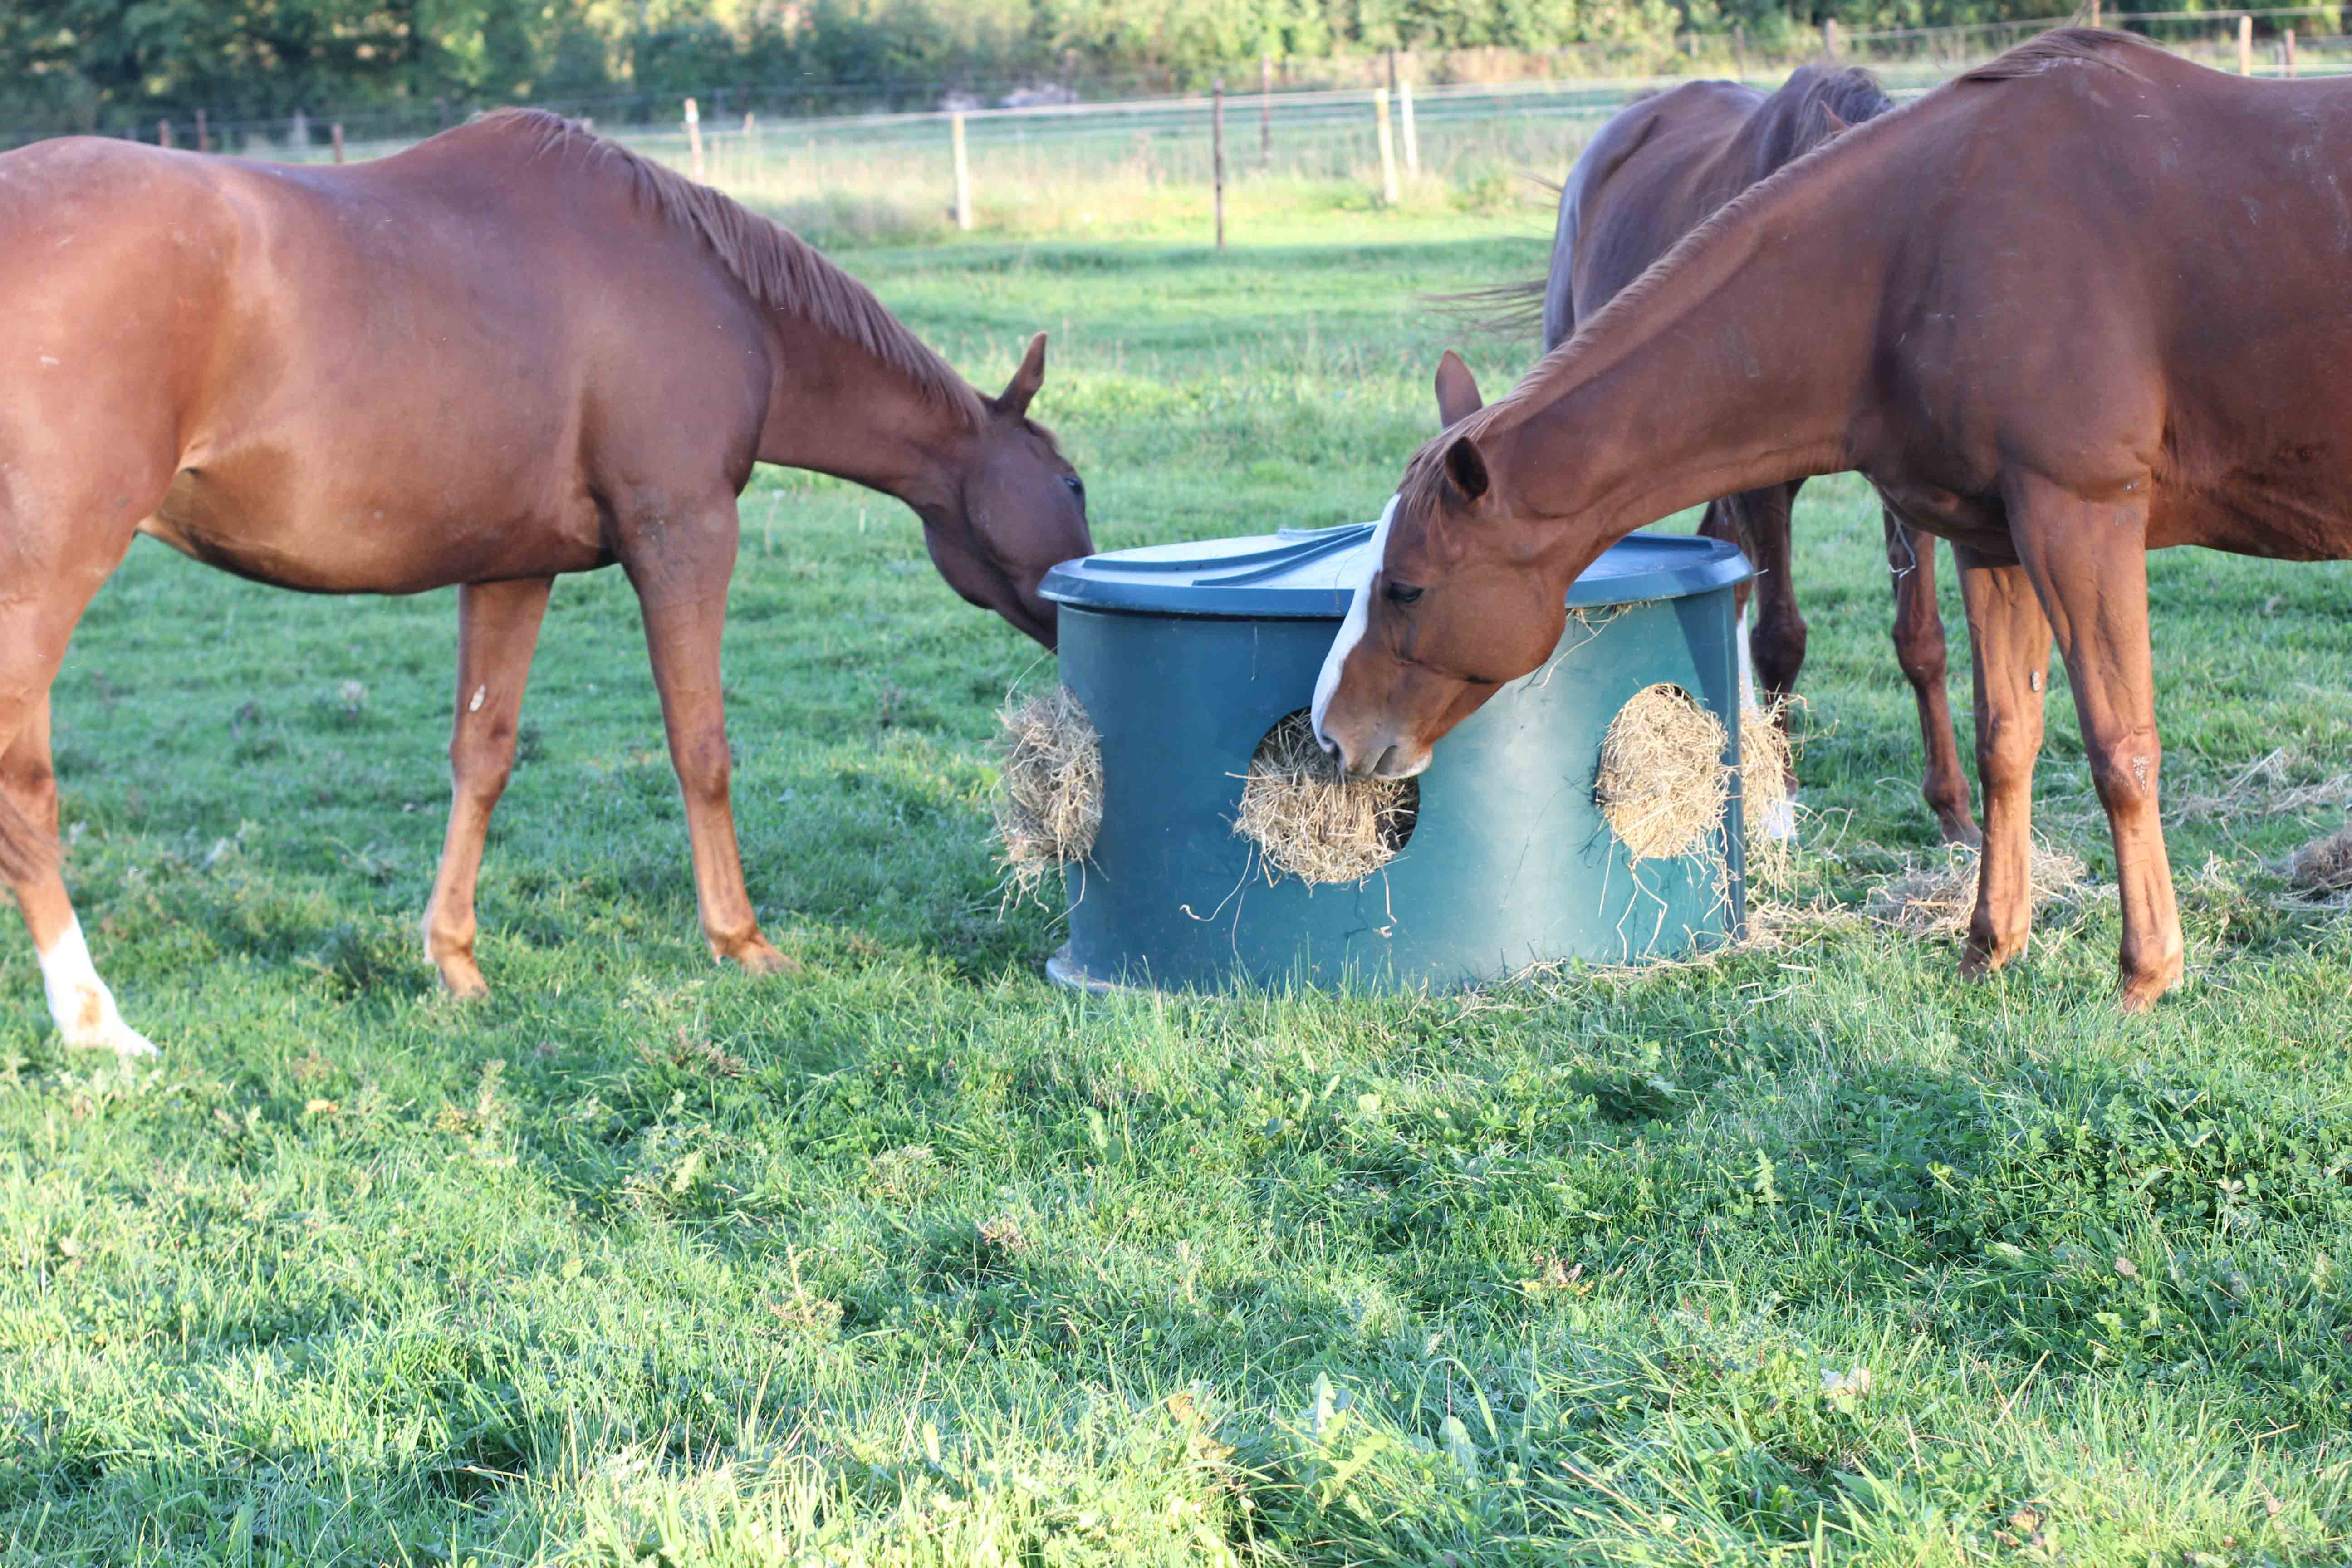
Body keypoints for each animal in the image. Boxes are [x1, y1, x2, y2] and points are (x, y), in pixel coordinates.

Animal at [0, 104, 1091, 1048]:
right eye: (1074, 482)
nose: (1070, 618)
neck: (722, 300)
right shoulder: (683, 534)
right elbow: (701, 747)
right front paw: (742, 942)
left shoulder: (511, 568)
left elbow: (482, 756)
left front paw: (454, 961)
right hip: (47, 584)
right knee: (27, 790)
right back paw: (93, 1023)